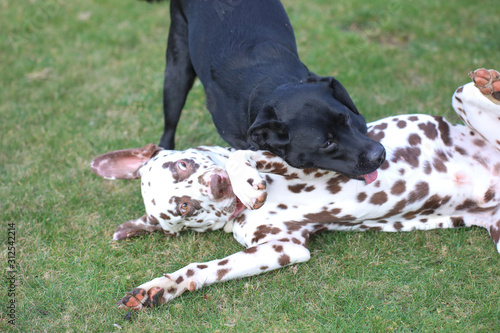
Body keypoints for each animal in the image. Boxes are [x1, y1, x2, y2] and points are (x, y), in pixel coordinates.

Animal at [93, 68, 500, 310]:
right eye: (183, 207)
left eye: (182, 166)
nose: (219, 185)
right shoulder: (283, 248)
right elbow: (203, 268)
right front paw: (161, 288)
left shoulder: (290, 159)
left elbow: (241, 153)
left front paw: (245, 179)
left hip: (461, 96)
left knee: (469, 90)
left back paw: (490, 84)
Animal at [152, 0, 382, 182]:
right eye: (326, 144)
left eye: (347, 119)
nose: (379, 154)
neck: (271, 85)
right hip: (176, 70)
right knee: (169, 126)